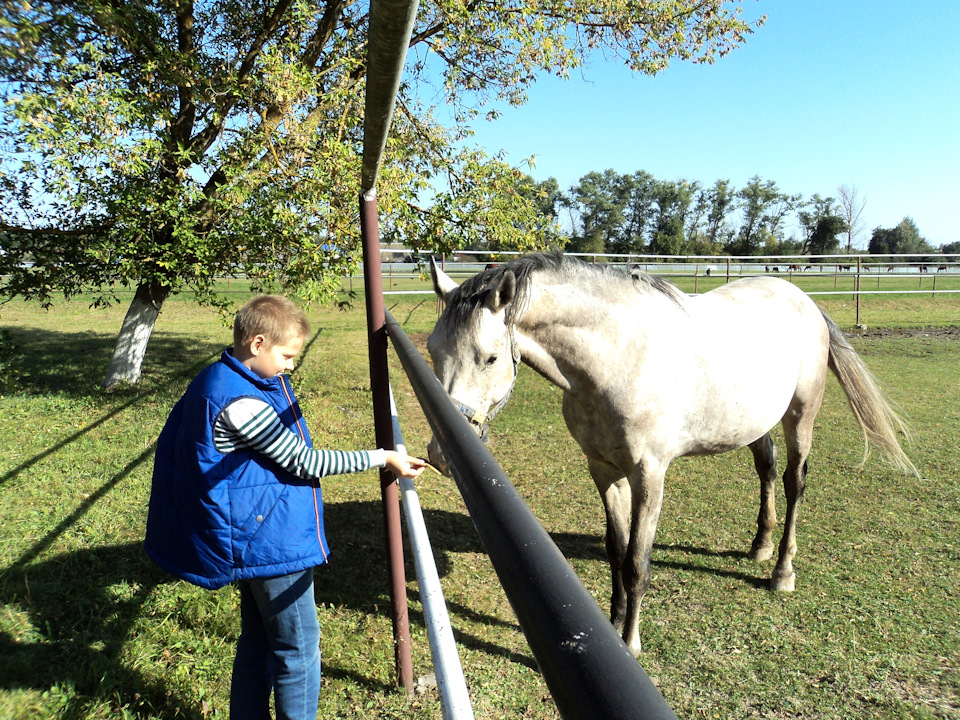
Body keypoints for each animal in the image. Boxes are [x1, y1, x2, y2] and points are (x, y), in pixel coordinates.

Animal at [428, 253, 916, 660]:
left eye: (490, 358)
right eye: (433, 348)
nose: (441, 450)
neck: (618, 357)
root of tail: (804, 300)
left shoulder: (650, 475)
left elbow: (637, 564)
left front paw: (630, 642)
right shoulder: (604, 470)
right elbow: (616, 552)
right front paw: (613, 624)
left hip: (801, 416)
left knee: (795, 482)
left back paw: (782, 571)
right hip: (755, 423)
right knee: (766, 470)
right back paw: (760, 546)